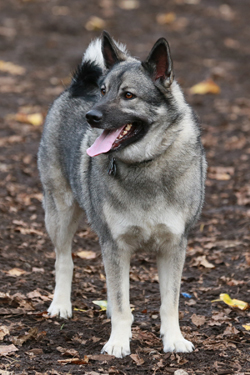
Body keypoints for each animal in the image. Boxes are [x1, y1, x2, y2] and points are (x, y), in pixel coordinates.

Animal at [36, 31, 205, 358]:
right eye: (103, 91)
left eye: (128, 95)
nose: (91, 116)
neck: (146, 166)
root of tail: (77, 87)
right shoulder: (115, 244)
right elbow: (122, 300)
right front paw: (118, 341)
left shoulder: (173, 246)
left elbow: (170, 303)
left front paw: (174, 339)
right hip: (60, 213)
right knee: (64, 261)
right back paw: (61, 305)